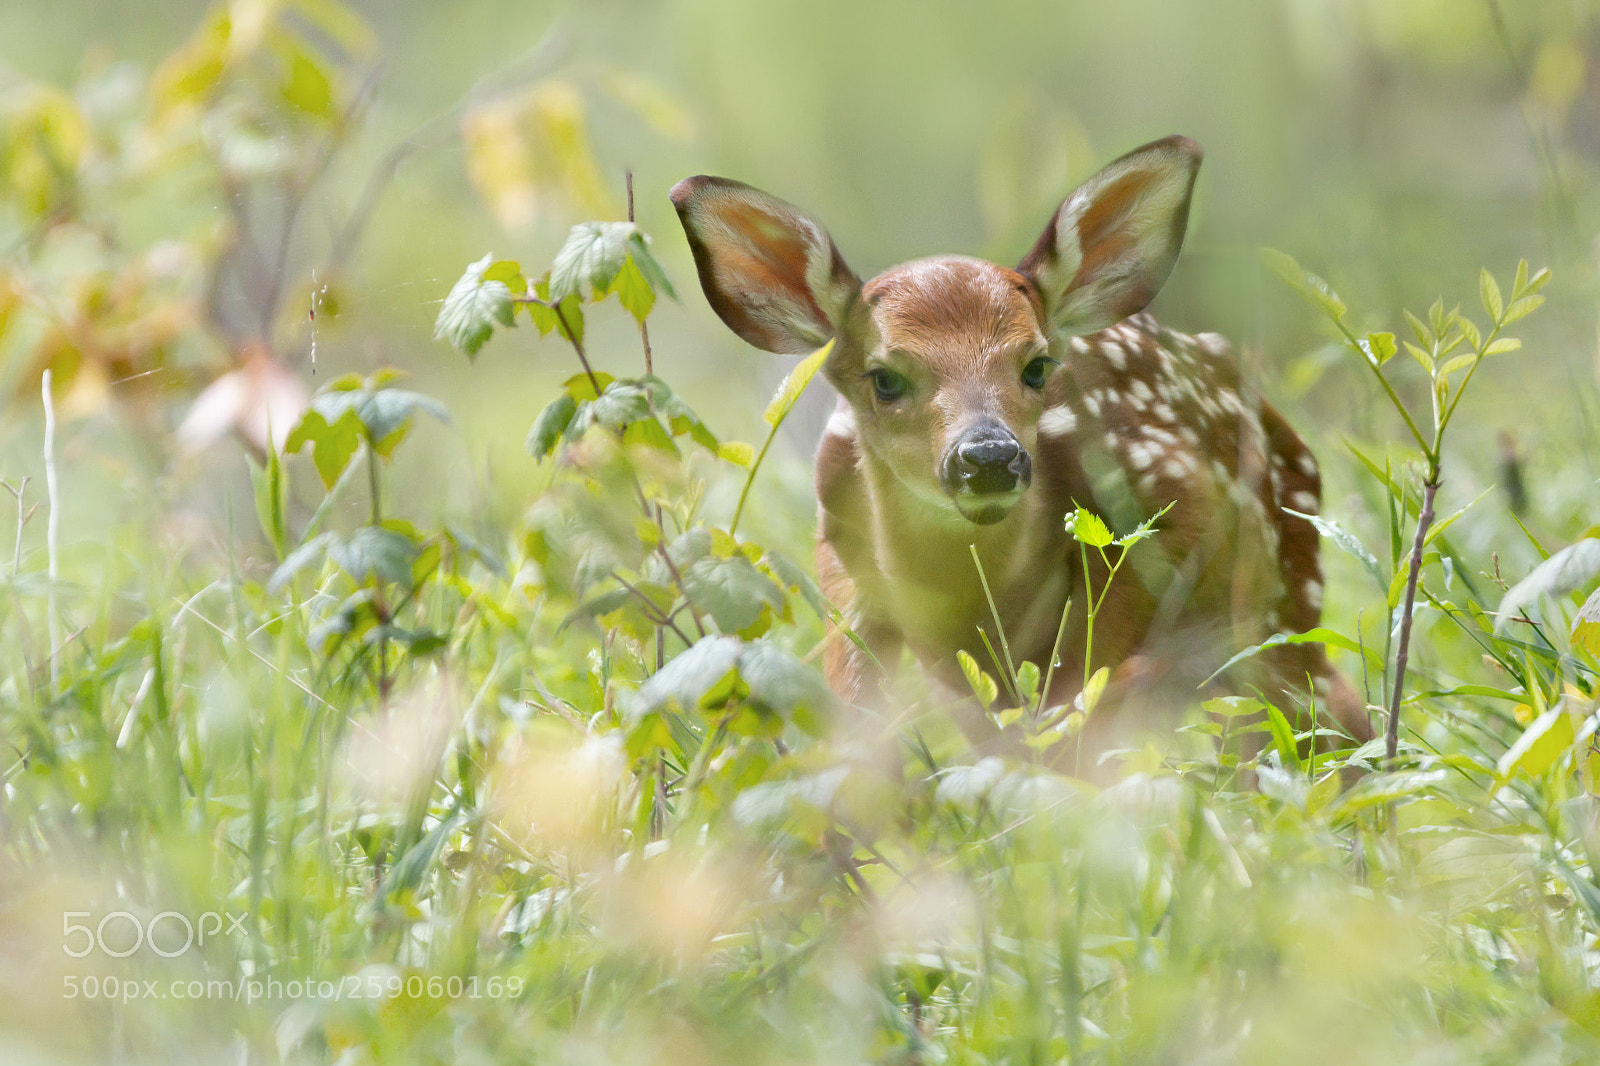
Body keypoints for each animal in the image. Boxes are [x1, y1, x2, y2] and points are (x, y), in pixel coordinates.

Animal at [670, 135, 1375, 771]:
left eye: (1035, 366)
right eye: (885, 378)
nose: (987, 456)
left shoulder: (1174, 492)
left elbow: (1080, 698)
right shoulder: (841, 550)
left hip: (1283, 599)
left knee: (1321, 713)